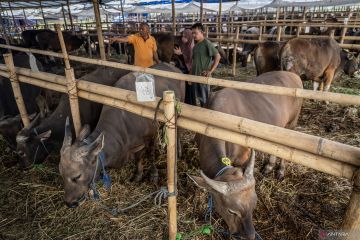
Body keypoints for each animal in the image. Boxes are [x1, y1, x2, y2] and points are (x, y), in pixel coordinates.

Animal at [57, 62, 184, 208]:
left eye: (77, 176)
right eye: (61, 172)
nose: (69, 202)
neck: (125, 118)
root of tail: (174, 67)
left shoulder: (150, 136)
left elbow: (150, 154)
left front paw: (153, 174)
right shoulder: (137, 145)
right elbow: (138, 158)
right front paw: (138, 174)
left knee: (177, 133)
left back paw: (178, 151)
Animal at [188, 71, 304, 238]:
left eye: (254, 205)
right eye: (231, 211)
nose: (250, 236)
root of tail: (293, 74)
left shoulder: (243, 157)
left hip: (291, 125)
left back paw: (280, 171)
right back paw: (268, 166)